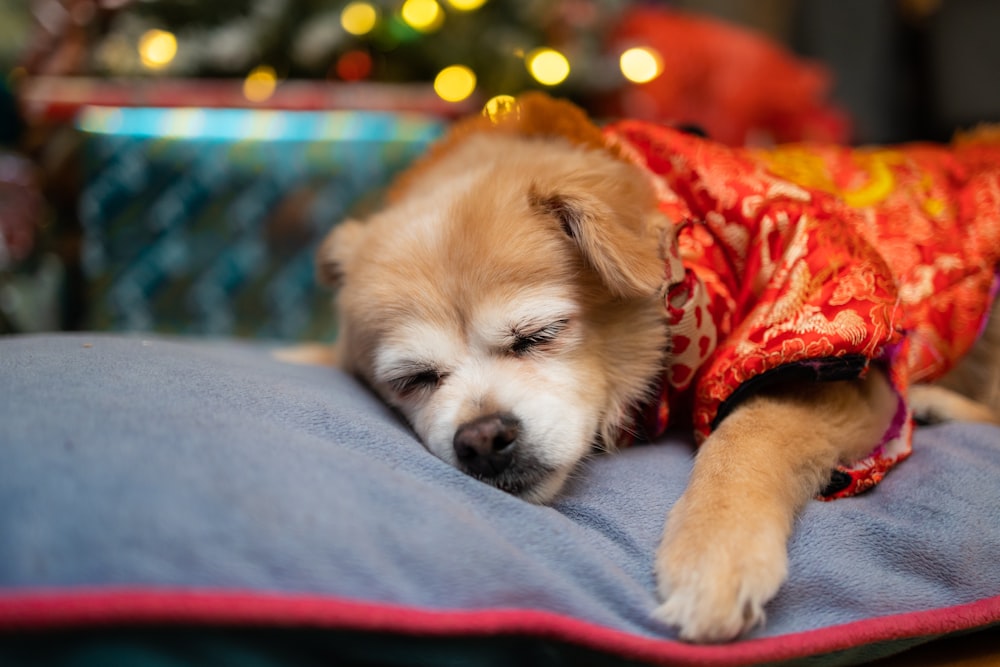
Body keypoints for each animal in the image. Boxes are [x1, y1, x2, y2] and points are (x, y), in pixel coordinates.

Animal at [304, 92, 1000, 640]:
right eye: (413, 382)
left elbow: (749, 434)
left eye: (538, 336)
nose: (481, 438)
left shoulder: (828, 353)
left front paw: (714, 553)